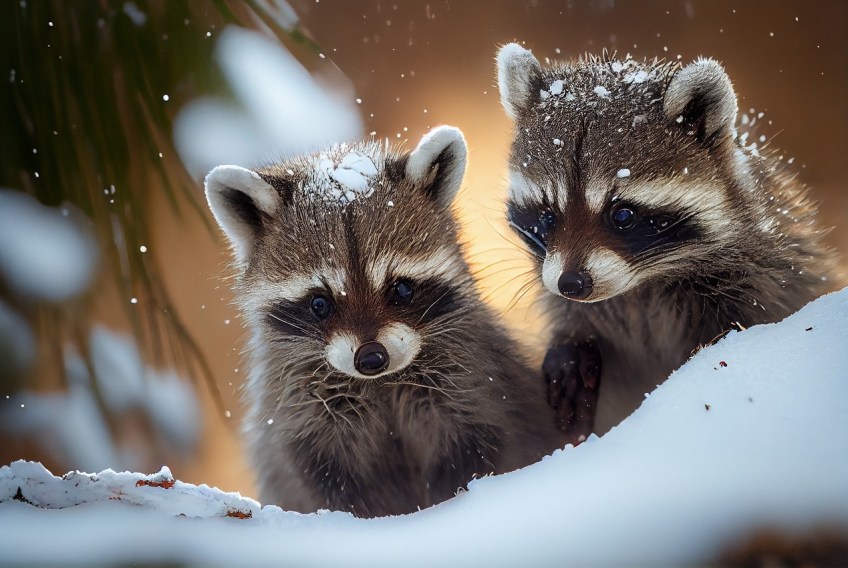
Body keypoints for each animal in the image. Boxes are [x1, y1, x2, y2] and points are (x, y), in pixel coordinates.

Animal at [204, 126, 560, 517]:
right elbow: (319, 475)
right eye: (319, 303)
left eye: (401, 288)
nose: (372, 358)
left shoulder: (471, 381)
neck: (380, 384)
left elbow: (476, 442)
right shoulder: (297, 411)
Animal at [496, 44, 836, 444]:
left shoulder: (760, 274)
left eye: (622, 215)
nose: (572, 284)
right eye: (548, 216)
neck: (641, 286)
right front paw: (571, 345)